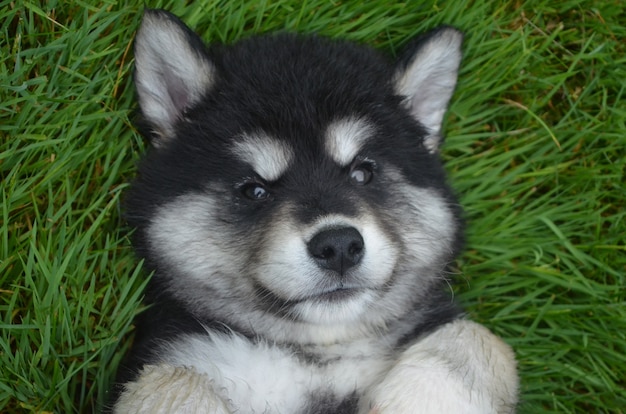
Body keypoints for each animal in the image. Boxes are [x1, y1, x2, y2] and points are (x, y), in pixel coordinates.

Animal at [112, 9, 516, 414]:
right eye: (255, 189)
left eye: (362, 173)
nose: (338, 246)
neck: (319, 355)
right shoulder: (184, 350)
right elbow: (172, 378)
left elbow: (479, 336)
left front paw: (423, 398)